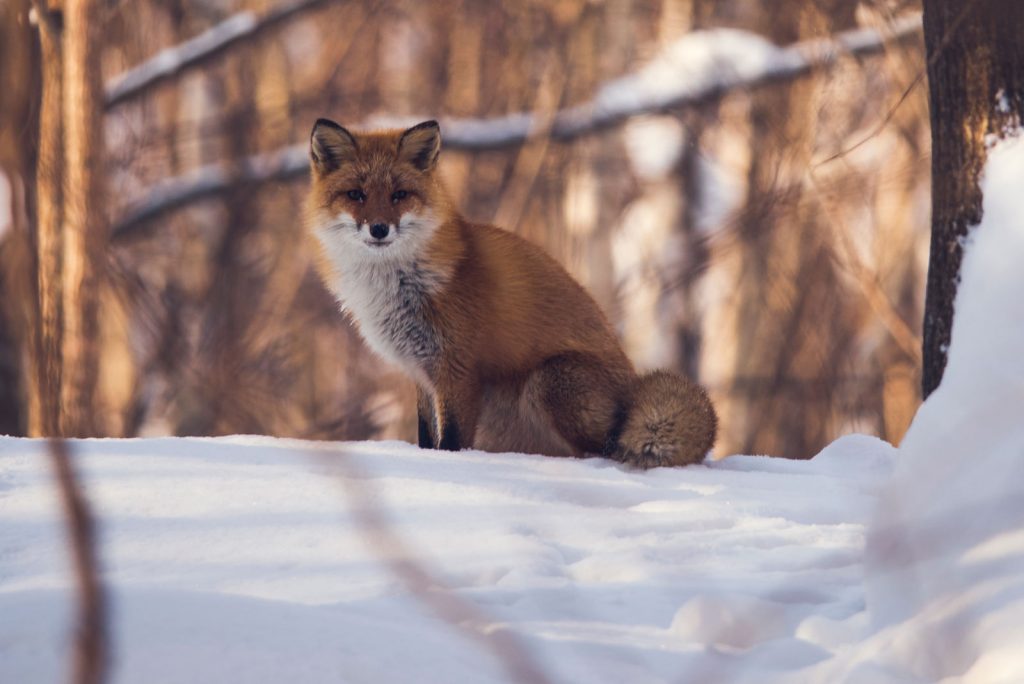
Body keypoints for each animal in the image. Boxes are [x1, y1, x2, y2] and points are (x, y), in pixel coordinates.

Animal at [305, 118, 717, 468]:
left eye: (399, 194)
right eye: (356, 195)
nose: (378, 229)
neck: (399, 286)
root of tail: (632, 389)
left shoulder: (458, 369)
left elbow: (450, 442)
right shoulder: (421, 372)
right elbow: (426, 437)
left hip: (549, 380)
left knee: (603, 451)